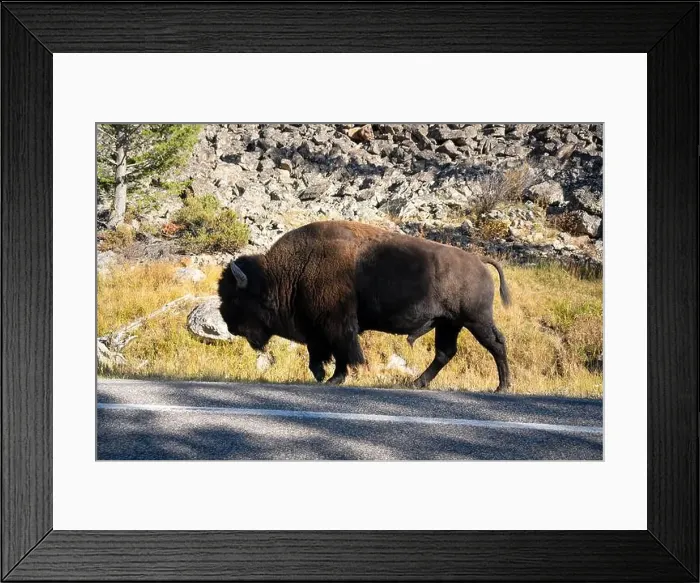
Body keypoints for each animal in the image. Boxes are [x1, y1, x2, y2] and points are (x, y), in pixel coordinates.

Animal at [218, 220, 511, 390]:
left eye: (235, 298)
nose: (230, 326)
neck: (288, 272)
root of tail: (479, 261)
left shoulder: (336, 324)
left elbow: (344, 351)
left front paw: (335, 378)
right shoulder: (318, 327)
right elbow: (325, 354)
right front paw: (326, 376)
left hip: (475, 320)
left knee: (496, 345)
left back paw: (503, 387)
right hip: (449, 324)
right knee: (445, 352)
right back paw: (417, 383)